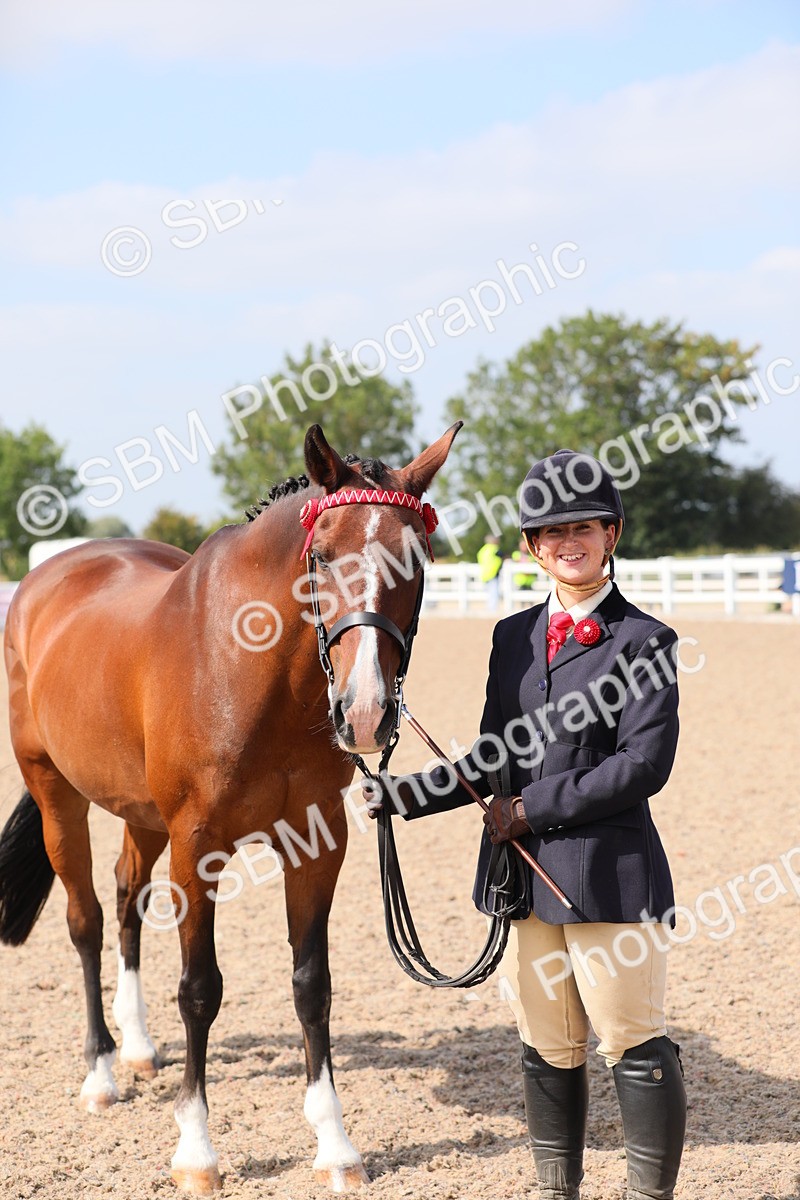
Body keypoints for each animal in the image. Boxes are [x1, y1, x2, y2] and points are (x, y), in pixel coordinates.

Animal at [0, 421, 461, 1195]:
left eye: (417, 562)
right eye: (322, 557)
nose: (367, 714)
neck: (254, 671)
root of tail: (46, 578)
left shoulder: (317, 843)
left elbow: (312, 985)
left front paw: (335, 1147)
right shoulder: (198, 843)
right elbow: (200, 990)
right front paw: (196, 1152)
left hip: (141, 814)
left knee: (125, 899)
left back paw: (137, 1048)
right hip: (56, 790)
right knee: (86, 920)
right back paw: (100, 1072)